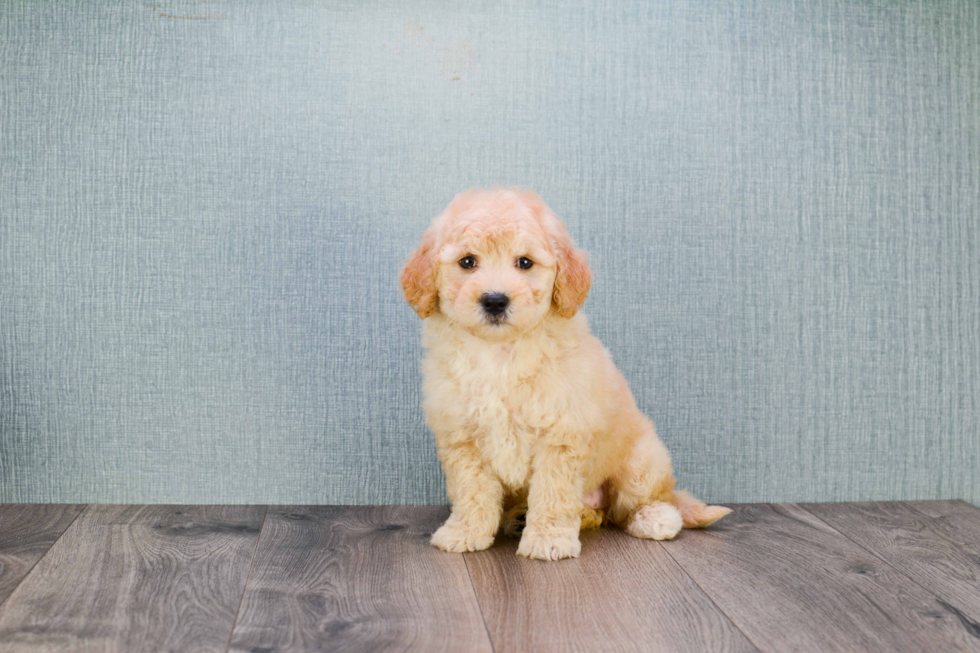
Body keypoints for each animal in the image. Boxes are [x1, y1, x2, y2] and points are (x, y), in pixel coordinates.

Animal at [398, 188, 728, 560]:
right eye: (467, 262)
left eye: (525, 262)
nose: (495, 300)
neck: (501, 354)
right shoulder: (462, 437)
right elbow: (472, 490)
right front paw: (465, 532)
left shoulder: (561, 433)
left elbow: (553, 493)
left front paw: (548, 539)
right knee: (598, 514)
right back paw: (522, 518)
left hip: (641, 460)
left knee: (641, 502)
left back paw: (655, 518)